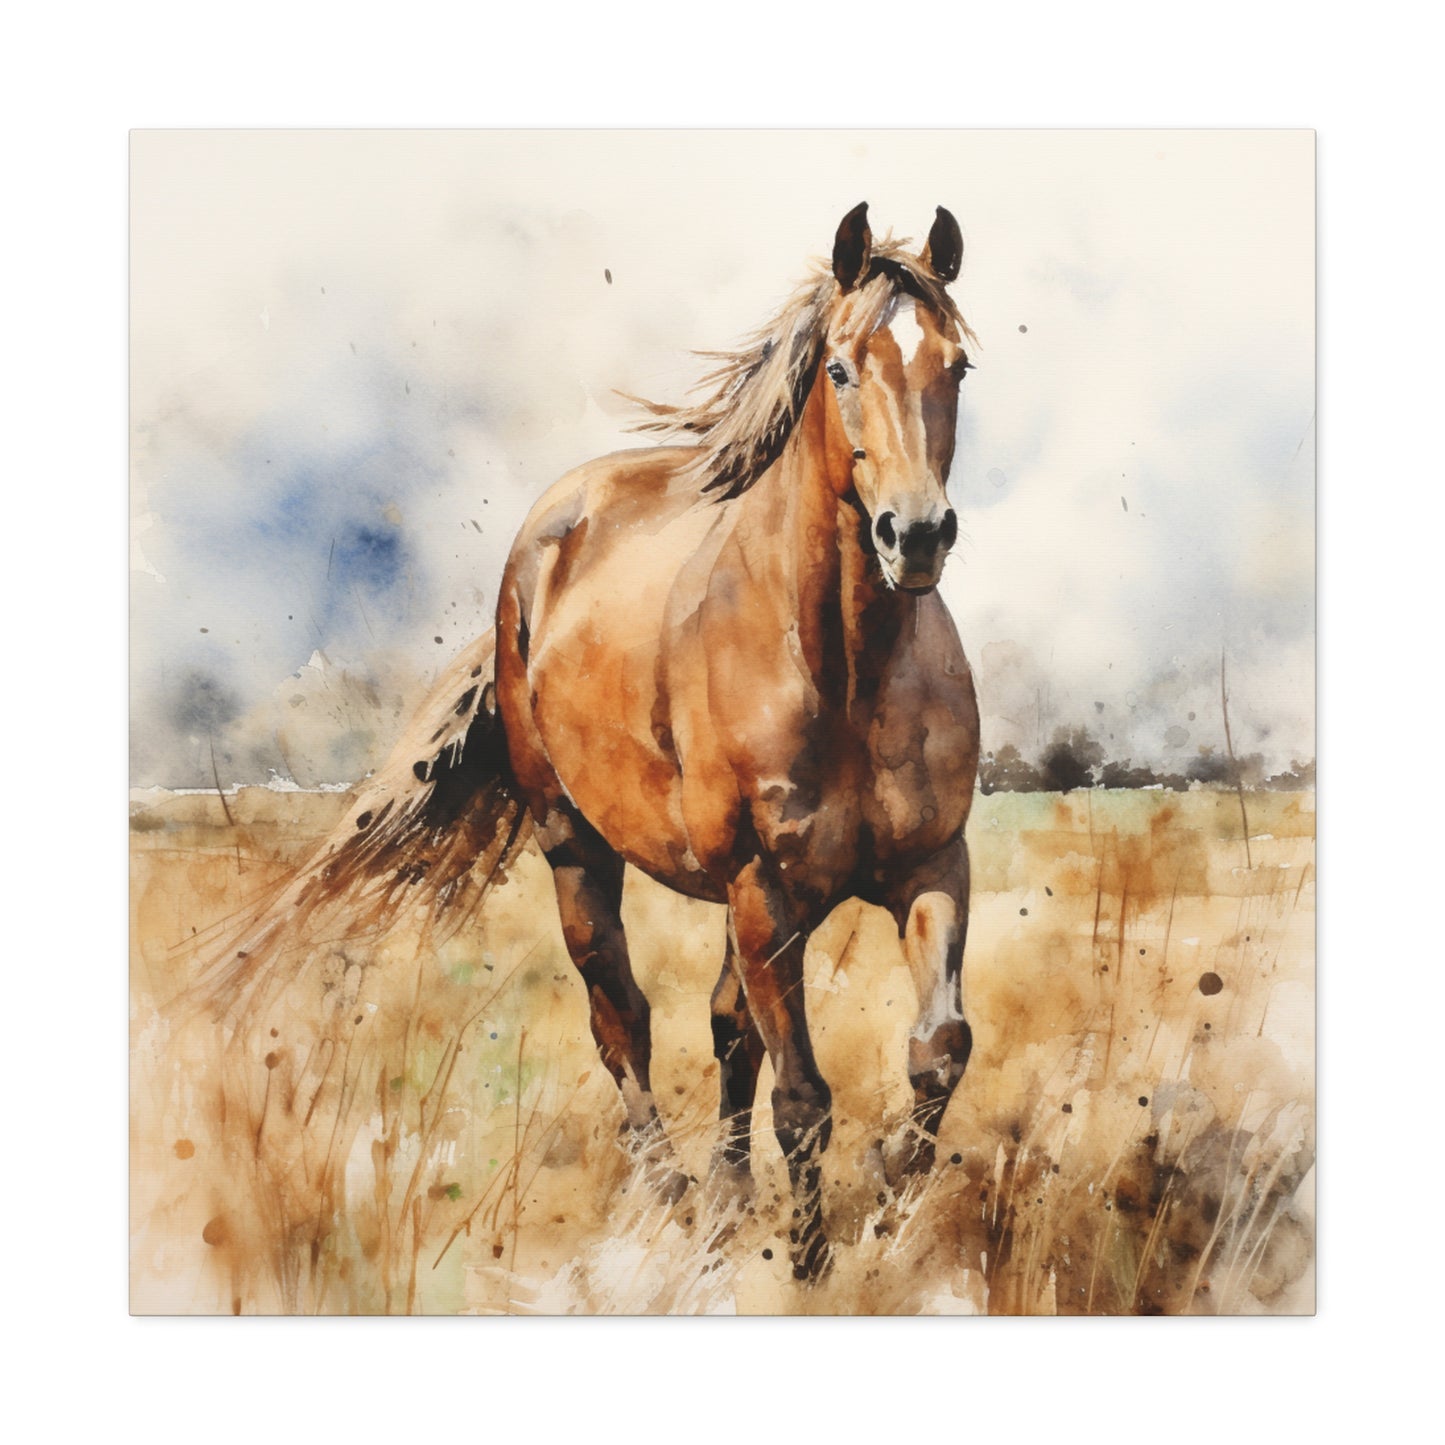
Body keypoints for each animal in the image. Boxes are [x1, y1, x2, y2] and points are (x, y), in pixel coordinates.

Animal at [199, 203, 981, 1283]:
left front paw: (888, 1201)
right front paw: (810, 1264)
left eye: (957, 364)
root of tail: (545, 529)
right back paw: (673, 1193)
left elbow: (936, 1046)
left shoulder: (929, 865)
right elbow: (801, 1096)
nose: (916, 537)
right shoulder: (762, 883)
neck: (843, 667)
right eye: (838, 367)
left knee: (725, 1025)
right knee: (624, 1019)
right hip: (577, 843)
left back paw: (723, 1203)